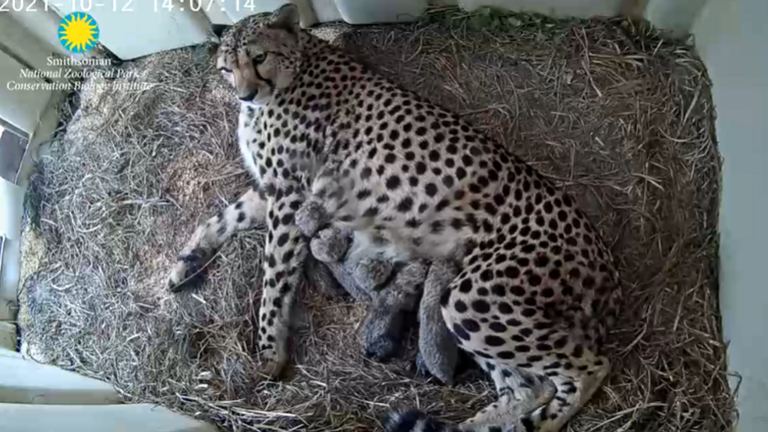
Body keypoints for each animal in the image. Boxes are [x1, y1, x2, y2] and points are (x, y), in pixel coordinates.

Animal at [168, 4, 621, 431]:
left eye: (259, 57)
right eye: (226, 68)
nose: (245, 94)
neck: (297, 66)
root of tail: (604, 258)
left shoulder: (289, 195)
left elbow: (274, 279)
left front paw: (268, 351)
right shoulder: (275, 191)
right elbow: (223, 217)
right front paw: (185, 263)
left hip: (474, 297)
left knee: (586, 370)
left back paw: (542, 419)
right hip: (470, 303)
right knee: (529, 386)